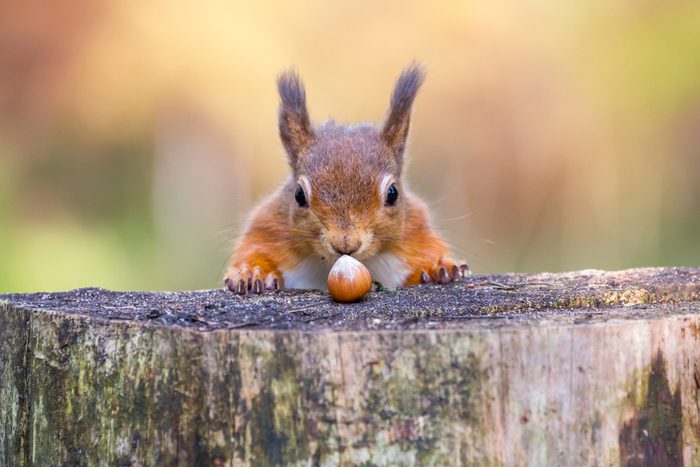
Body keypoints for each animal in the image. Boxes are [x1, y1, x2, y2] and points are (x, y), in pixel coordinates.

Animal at [225, 64, 469, 294]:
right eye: (298, 195)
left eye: (393, 193)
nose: (346, 244)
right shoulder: (268, 226)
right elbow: (254, 250)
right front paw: (251, 272)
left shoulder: (416, 230)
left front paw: (439, 267)